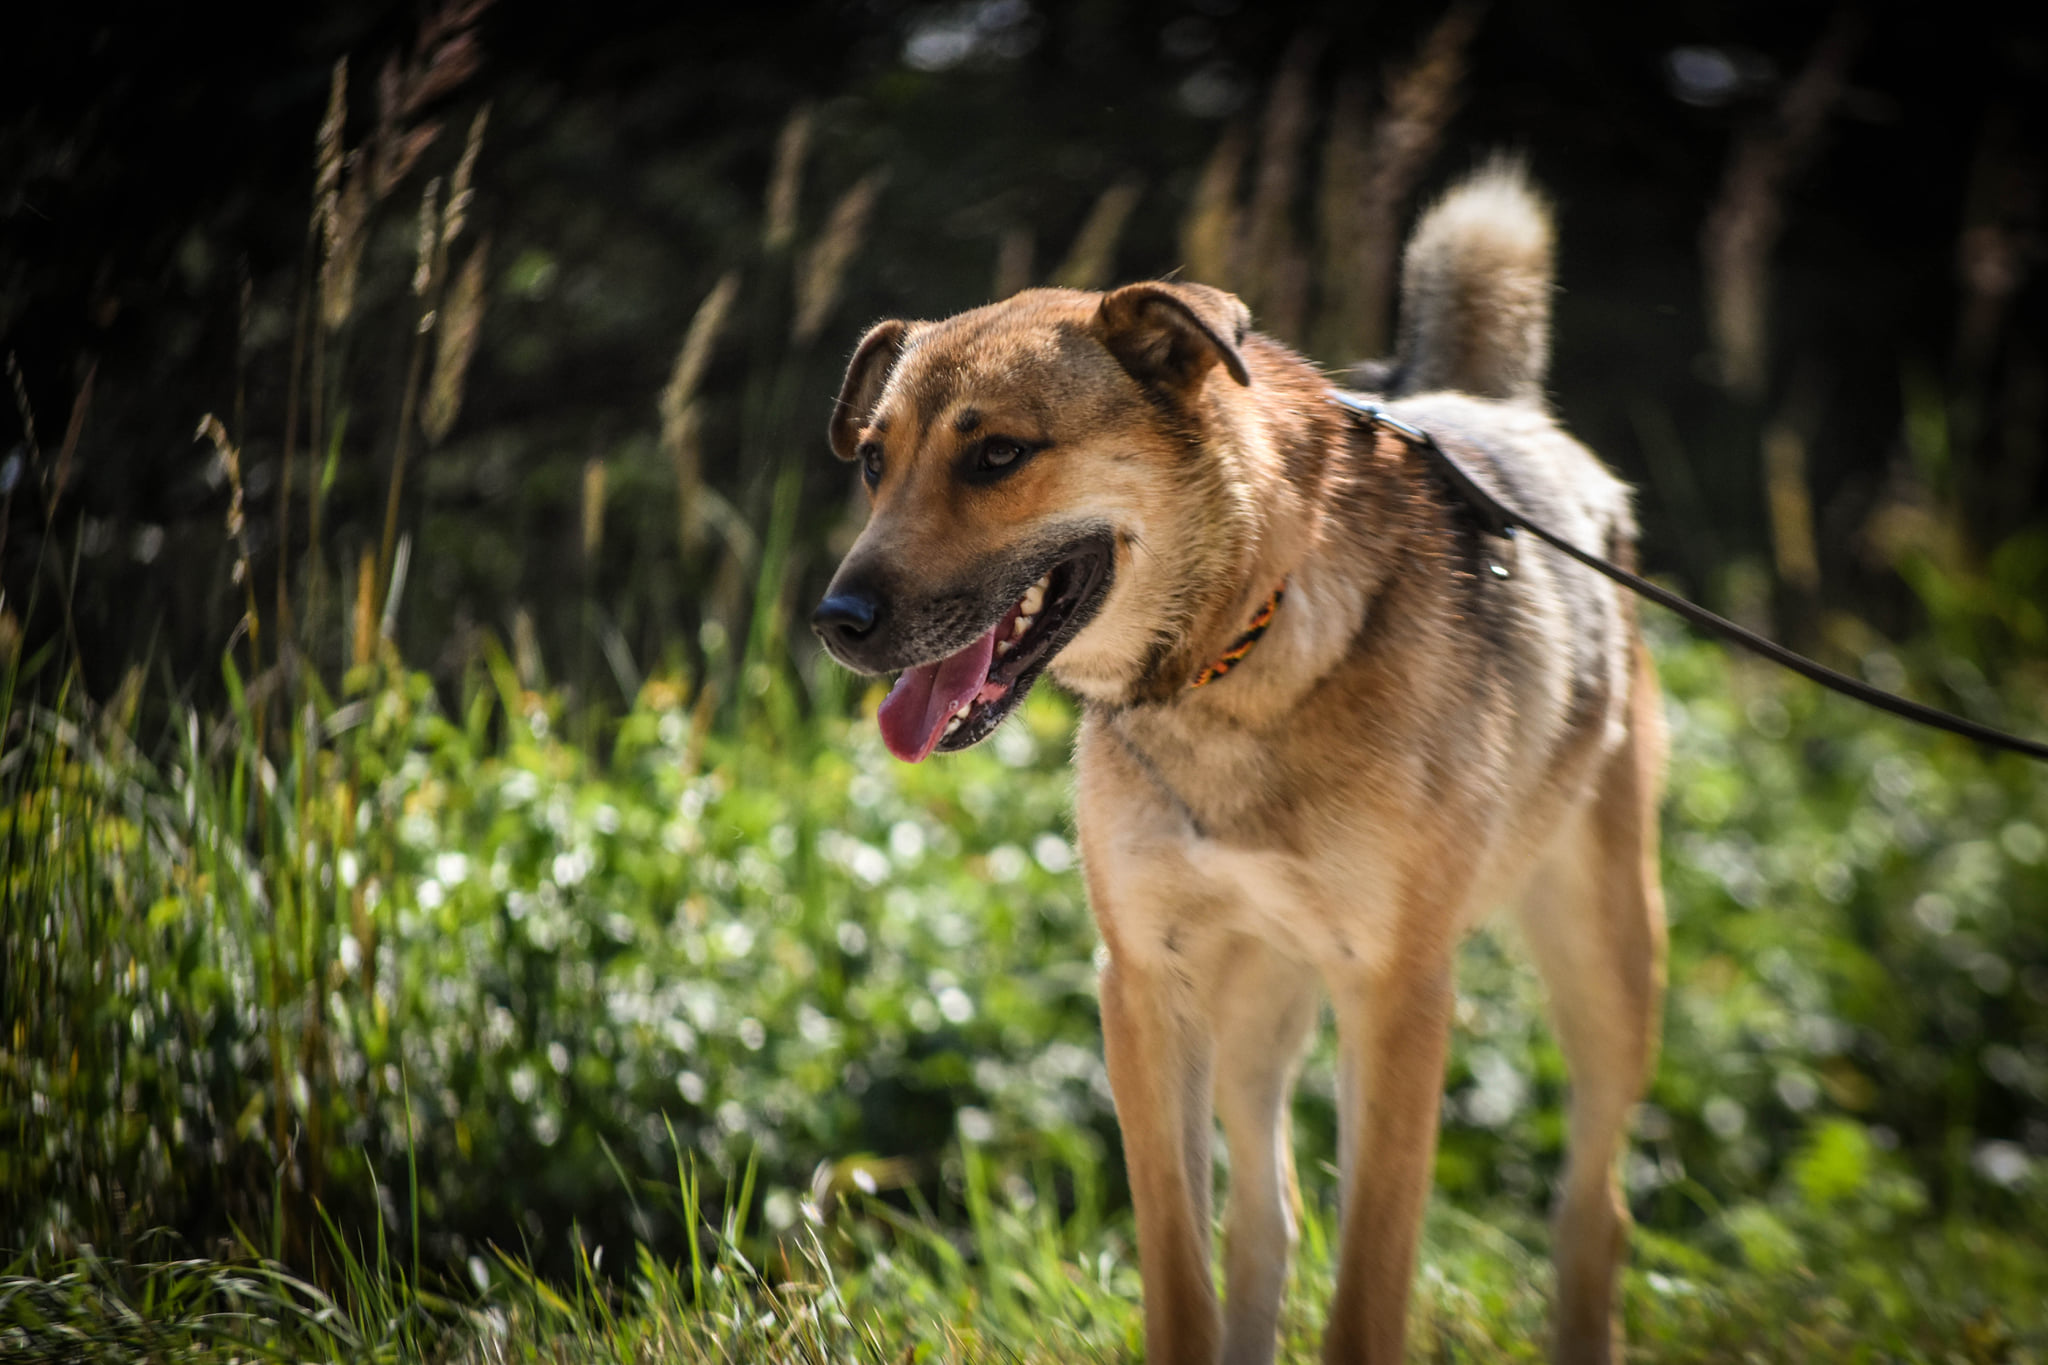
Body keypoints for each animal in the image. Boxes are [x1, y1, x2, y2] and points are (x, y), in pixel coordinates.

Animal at [812, 162, 1665, 1365]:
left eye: (998, 455)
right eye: (876, 463)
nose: (834, 623)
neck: (1235, 665)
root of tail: (1494, 407)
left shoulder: (1397, 997)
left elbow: (1368, 1290)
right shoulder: (1146, 989)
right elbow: (1183, 1266)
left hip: (1603, 962)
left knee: (1595, 1206)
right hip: (1257, 1003)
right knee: (1268, 1216)